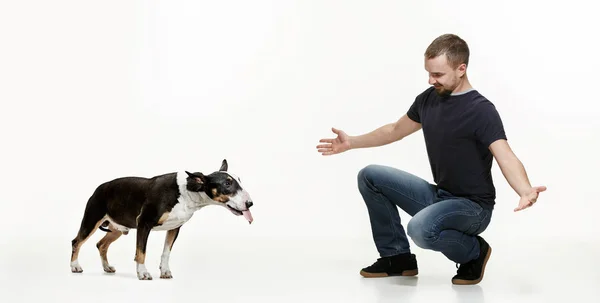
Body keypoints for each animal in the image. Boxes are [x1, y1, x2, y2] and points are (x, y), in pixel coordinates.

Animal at [69, 160, 253, 282]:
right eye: (227, 183)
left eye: (239, 180)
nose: (250, 203)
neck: (188, 191)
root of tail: (99, 188)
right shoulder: (144, 223)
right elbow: (141, 252)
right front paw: (143, 273)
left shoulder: (174, 228)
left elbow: (166, 252)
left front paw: (165, 272)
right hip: (91, 220)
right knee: (77, 241)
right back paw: (75, 266)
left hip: (118, 229)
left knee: (101, 244)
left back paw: (107, 267)